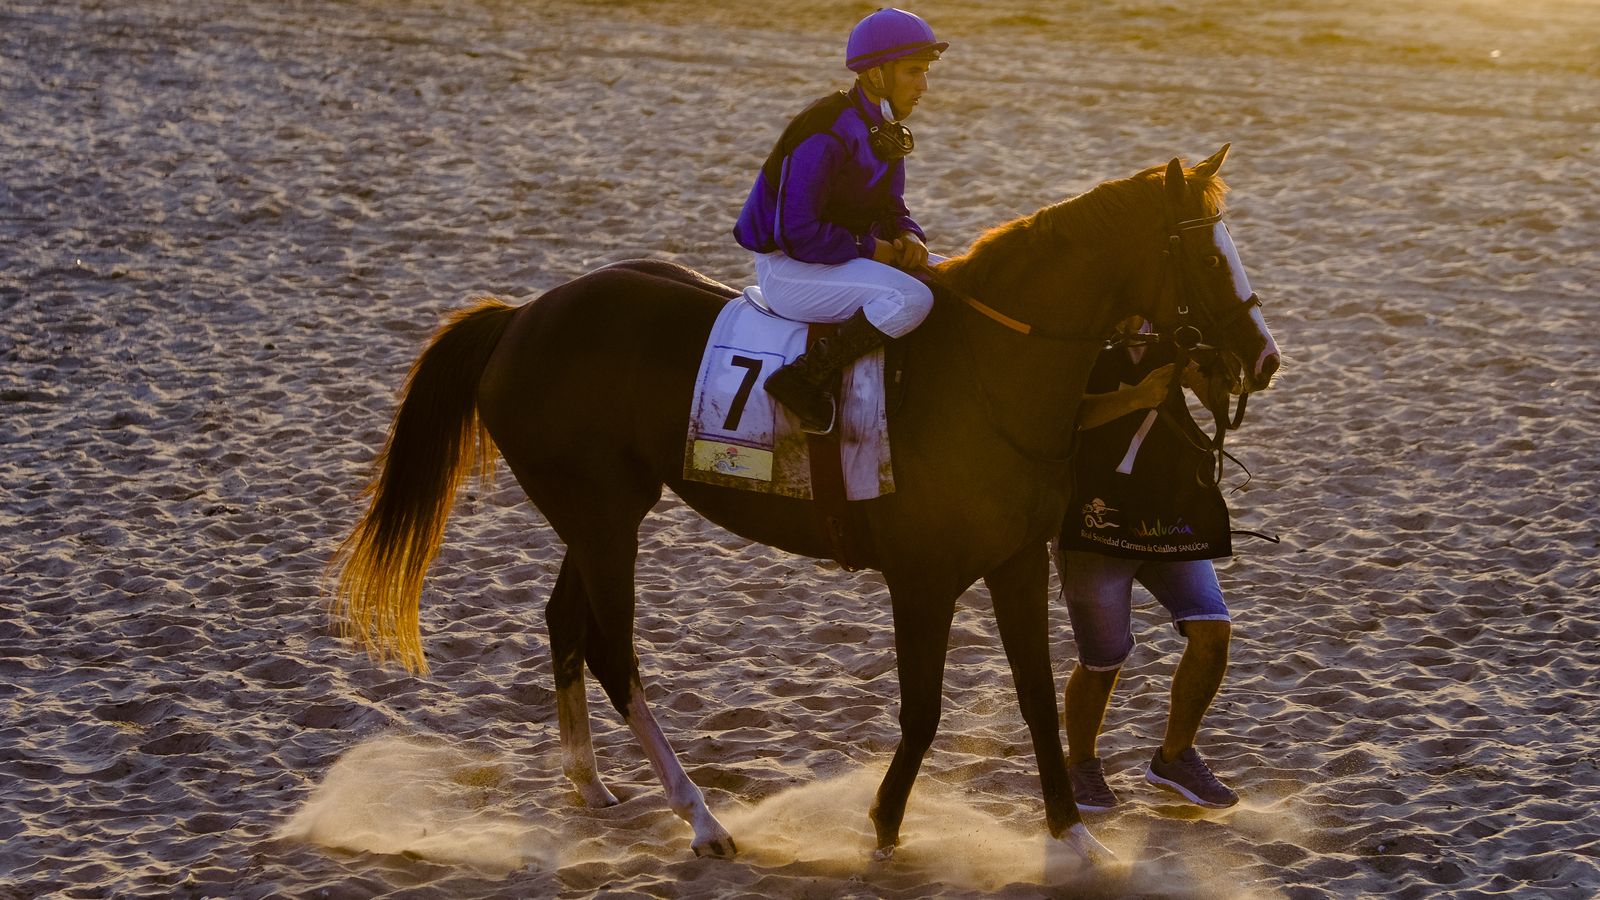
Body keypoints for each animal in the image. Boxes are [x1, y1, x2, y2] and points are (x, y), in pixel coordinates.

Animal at [329, 144, 1279, 867]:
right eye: (1204, 256)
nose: (1263, 358)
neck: (986, 373)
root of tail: (522, 314)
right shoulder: (922, 579)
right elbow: (924, 709)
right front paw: (885, 825)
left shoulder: (1014, 564)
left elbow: (1040, 699)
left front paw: (1074, 837)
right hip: (602, 519)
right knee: (611, 650)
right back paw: (702, 818)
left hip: (603, 512)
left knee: (566, 620)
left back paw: (591, 783)